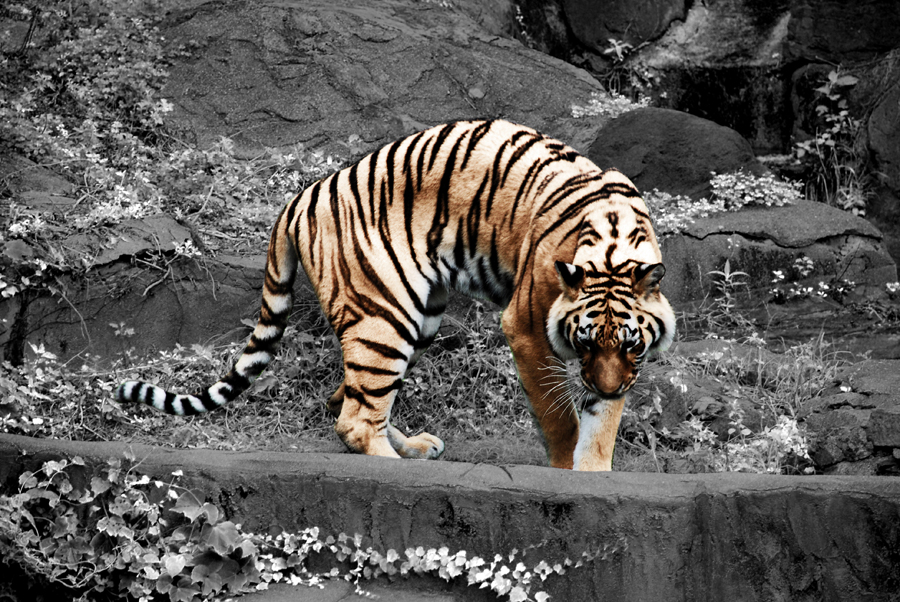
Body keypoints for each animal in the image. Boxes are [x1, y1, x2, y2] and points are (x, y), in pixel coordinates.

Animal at [116, 119, 675, 471]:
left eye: (630, 344)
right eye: (583, 342)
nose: (606, 387)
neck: (614, 242)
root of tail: (302, 195)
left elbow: (602, 425)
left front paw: (595, 468)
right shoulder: (527, 328)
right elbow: (560, 418)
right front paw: (564, 468)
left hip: (418, 319)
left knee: (348, 398)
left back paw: (414, 449)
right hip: (387, 314)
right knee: (354, 419)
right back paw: (398, 466)